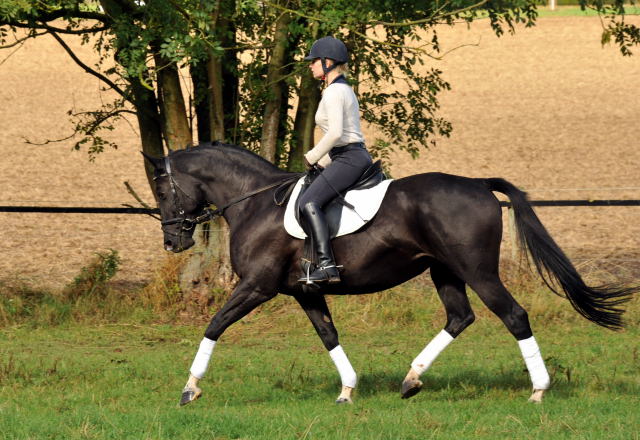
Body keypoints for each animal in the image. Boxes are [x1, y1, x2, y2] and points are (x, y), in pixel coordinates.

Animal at [142, 141, 632, 406]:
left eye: (162, 190)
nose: (172, 243)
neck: (256, 201)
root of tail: (477, 184)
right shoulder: (305, 292)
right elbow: (328, 335)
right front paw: (347, 390)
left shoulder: (257, 287)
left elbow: (215, 324)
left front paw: (190, 388)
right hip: (444, 271)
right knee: (460, 317)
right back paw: (412, 379)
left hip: (477, 270)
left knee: (514, 316)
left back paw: (538, 390)